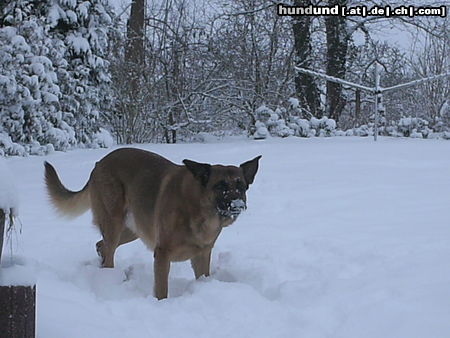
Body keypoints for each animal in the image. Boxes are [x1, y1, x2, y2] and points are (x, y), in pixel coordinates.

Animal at [44, 148, 262, 298]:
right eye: (220, 186)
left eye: (241, 186)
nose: (238, 204)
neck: (199, 209)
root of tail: (99, 163)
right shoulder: (163, 253)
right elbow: (161, 290)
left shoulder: (202, 254)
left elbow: (202, 276)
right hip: (114, 223)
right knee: (108, 251)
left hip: (133, 228)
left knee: (101, 245)